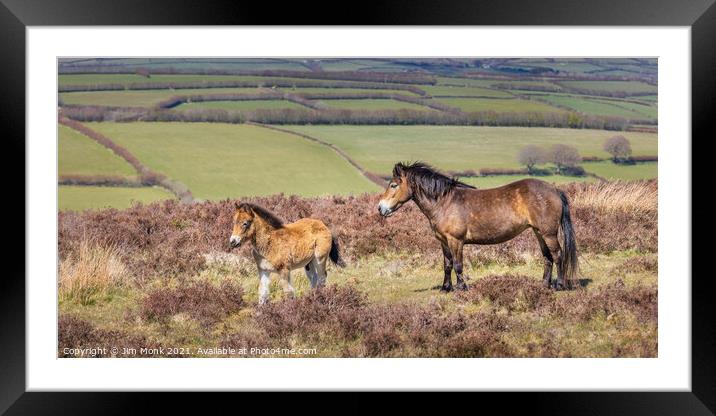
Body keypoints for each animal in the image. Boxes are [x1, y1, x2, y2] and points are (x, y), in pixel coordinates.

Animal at [378, 163, 580, 292]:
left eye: (393, 185)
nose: (380, 208)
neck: (444, 202)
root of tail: (554, 190)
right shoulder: (443, 241)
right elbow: (447, 264)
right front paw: (445, 288)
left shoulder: (455, 241)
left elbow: (458, 265)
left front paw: (461, 288)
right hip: (539, 233)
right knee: (547, 258)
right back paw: (544, 285)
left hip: (549, 233)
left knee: (558, 255)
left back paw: (559, 285)